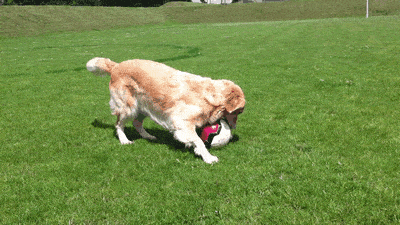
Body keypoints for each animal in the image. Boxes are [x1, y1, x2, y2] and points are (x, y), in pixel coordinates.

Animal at [86, 58, 245, 163]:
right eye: (238, 112)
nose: (233, 128)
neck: (208, 96)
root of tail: (116, 66)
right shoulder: (181, 121)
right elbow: (198, 140)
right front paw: (208, 157)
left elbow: (196, 139)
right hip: (128, 107)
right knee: (119, 124)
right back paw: (124, 140)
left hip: (144, 107)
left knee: (137, 123)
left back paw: (148, 136)